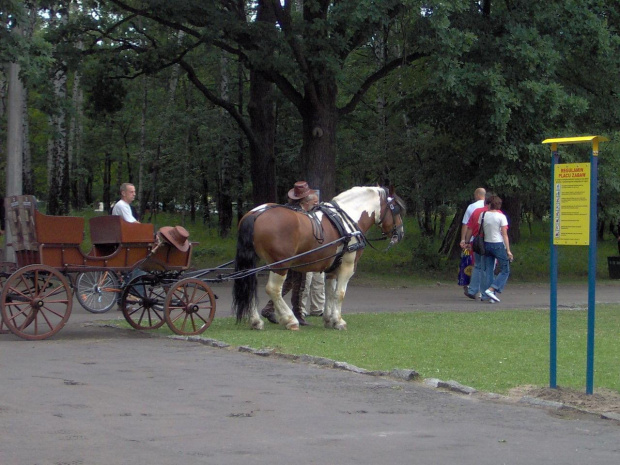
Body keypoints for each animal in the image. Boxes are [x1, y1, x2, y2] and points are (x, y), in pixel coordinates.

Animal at [234, 185, 406, 330]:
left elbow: (330, 292)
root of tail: (256, 213)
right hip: (279, 265)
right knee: (273, 289)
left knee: (250, 286)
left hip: (256, 263)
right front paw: (339, 321)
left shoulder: (333, 268)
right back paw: (290, 320)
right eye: (396, 209)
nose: (400, 233)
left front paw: (329, 319)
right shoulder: (348, 265)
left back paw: (256, 321)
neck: (347, 220)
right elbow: (340, 293)